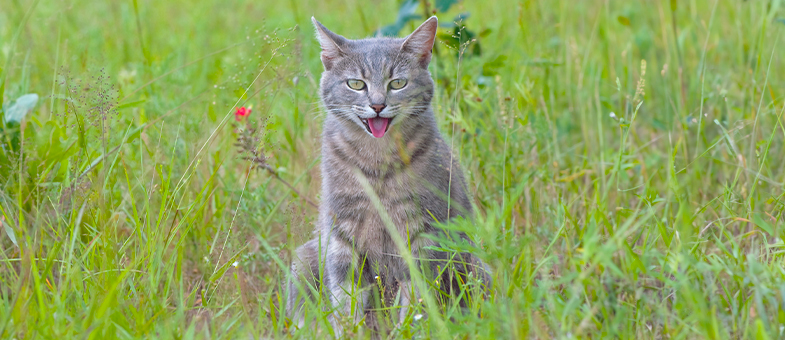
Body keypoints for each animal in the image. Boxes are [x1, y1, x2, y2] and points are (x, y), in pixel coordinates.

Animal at [284, 15, 486, 334]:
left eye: (398, 83)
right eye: (356, 84)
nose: (378, 105)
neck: (376, 161)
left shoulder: (422, 234)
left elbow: (417, 302)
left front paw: (410, 331)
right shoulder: (343, 236)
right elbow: (346, 302)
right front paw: (350, 332)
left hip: (475, 265)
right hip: (303, 261)